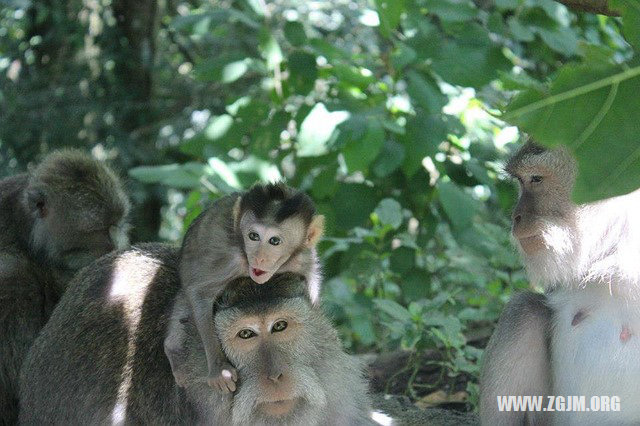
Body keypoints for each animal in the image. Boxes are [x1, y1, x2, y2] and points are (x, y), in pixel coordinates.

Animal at [165, 183, 324, 392]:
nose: (258, 258)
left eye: (274, 241)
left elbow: (312, 285)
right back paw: (173, 350)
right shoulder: (230, 260)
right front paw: (219, 369)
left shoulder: (303, 256)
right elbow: (198, 292)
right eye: (253, 236)